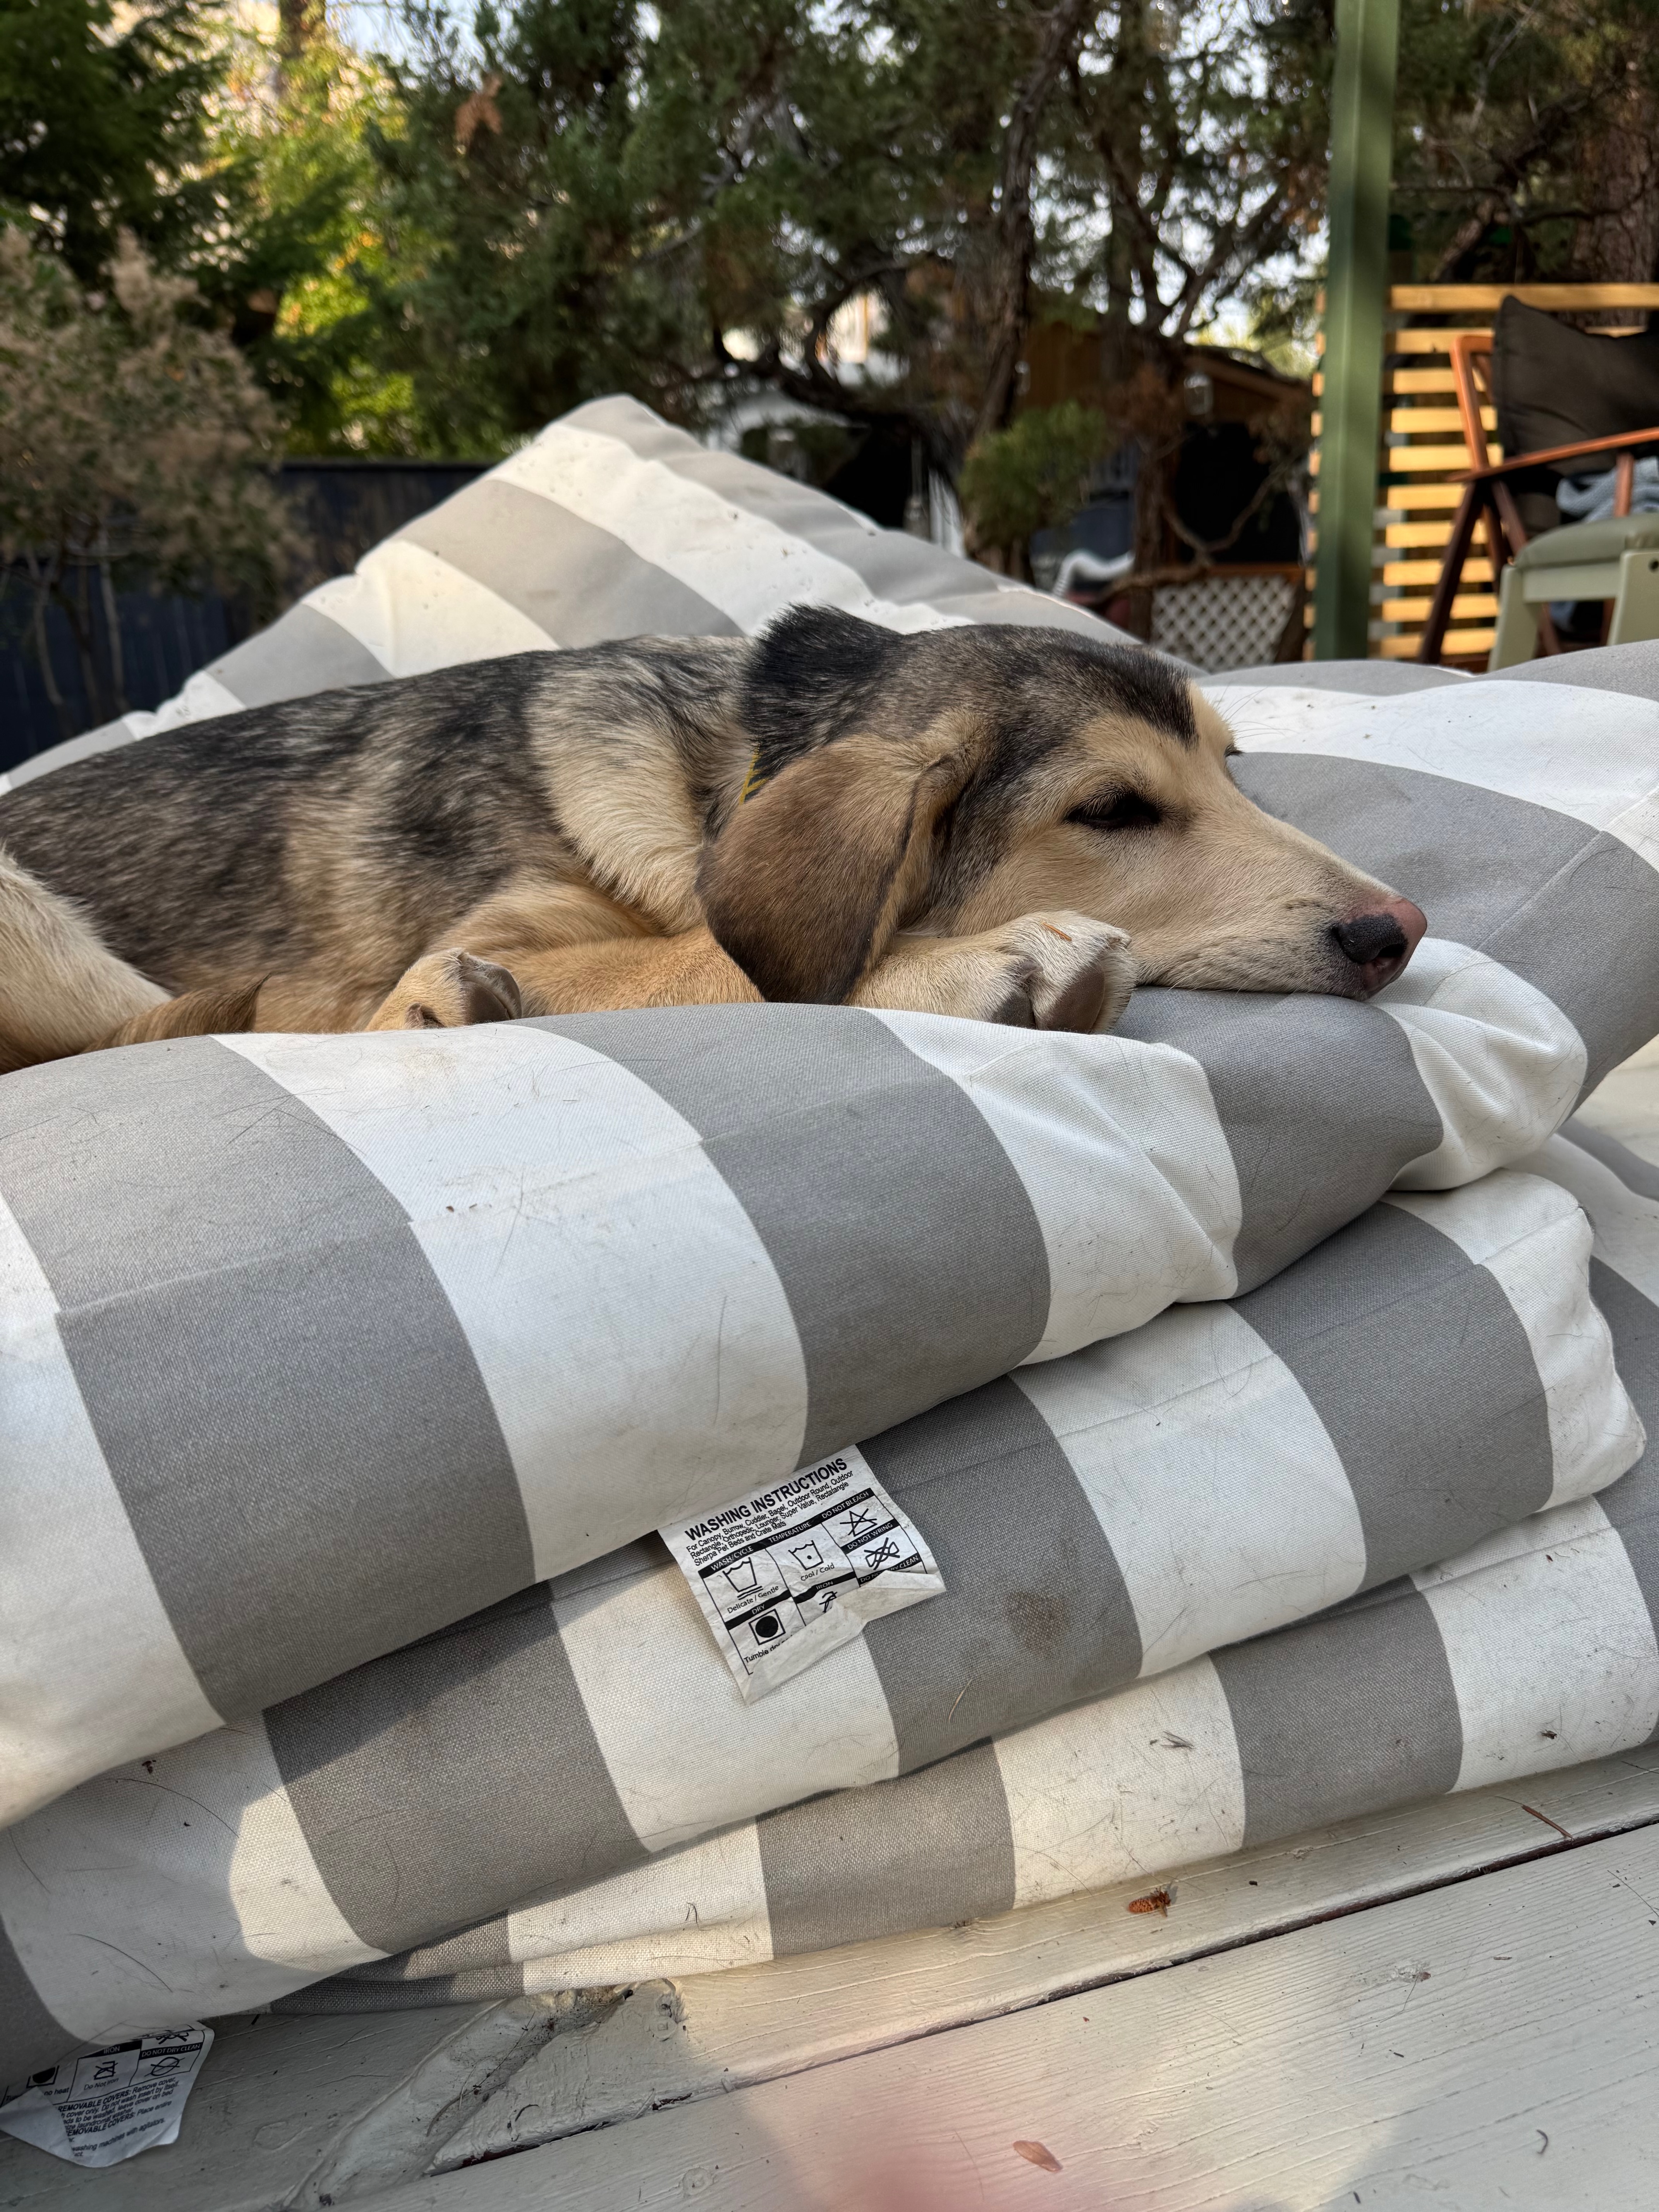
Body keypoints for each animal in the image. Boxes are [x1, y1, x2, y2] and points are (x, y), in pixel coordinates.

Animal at [0, 607, 1426, 1075]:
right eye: (1113, 812)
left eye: (1231, 773)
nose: (1399, 931)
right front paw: (981, 963)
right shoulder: (465, 944)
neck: (724, 769)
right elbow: (717, 956)